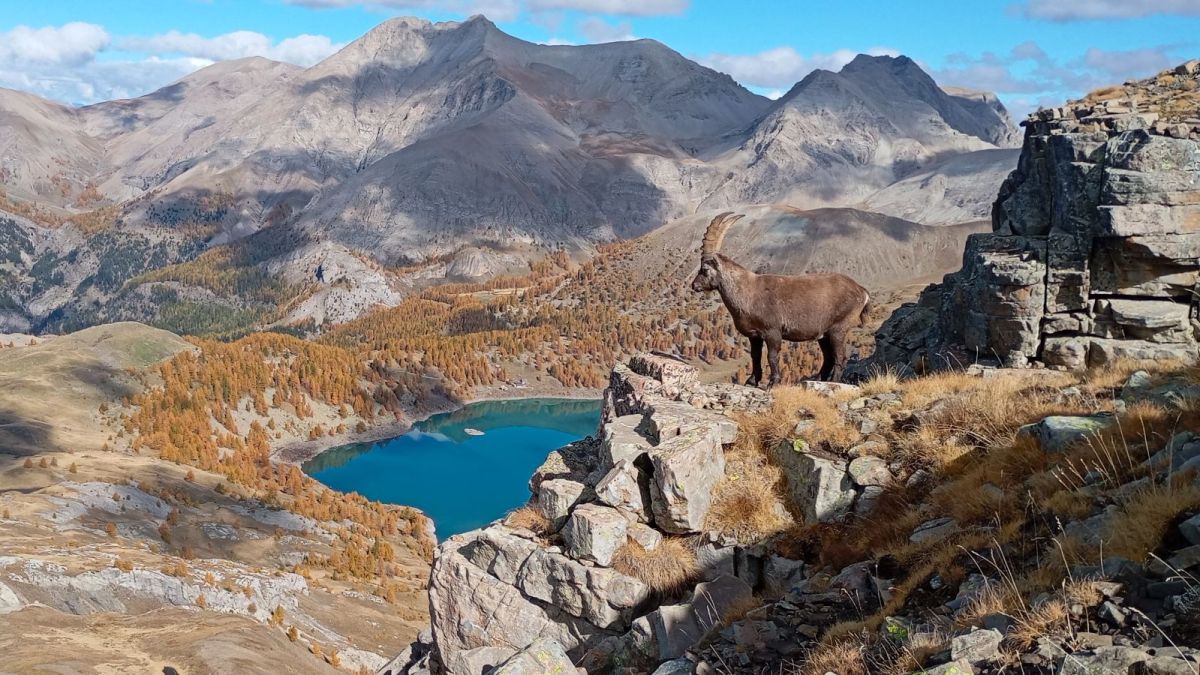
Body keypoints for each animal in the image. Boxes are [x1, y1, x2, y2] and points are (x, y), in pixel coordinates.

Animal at [696, 212, 873, 386]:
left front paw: (773, 382)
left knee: (840, 356)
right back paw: (818, 380)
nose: (694, 285)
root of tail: (862, 291)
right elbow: (755, 356)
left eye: (704, 269)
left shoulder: (772, 331)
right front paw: (752, 381)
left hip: (838, 329)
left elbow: (772, 356)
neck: (746, 291)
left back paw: (833, 381)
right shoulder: (754, 335)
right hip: (824, 334)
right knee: (828, 357)